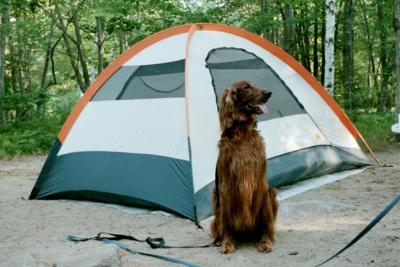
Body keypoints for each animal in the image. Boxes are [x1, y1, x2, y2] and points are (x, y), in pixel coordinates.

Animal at [212, 80, 278, 254]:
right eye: (246, 87)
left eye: (255, 85)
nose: (269, 93)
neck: (242, 134)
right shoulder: (226, 187)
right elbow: (226, 223)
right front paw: (227, 243)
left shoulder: (261, 185)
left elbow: (265, 222)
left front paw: (265, 241)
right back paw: (218, 240)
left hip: (271, 193)